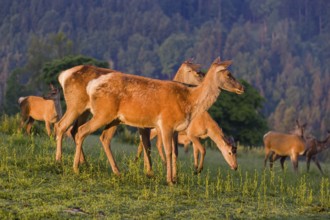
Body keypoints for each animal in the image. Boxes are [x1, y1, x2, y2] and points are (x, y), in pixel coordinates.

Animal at [73, 57, 245, 185]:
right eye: (228, 74)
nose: (242, 88)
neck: (189, 101)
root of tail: (91, 85)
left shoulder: (175, 129)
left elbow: (174, 152)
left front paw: (173, 178)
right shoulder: (166, 123)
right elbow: (168, 151)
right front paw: (169, 180)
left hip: (115, 118)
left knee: (103, 138)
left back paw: (117, 172)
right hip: (103, 113)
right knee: (81, 130)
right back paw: (76, 168)